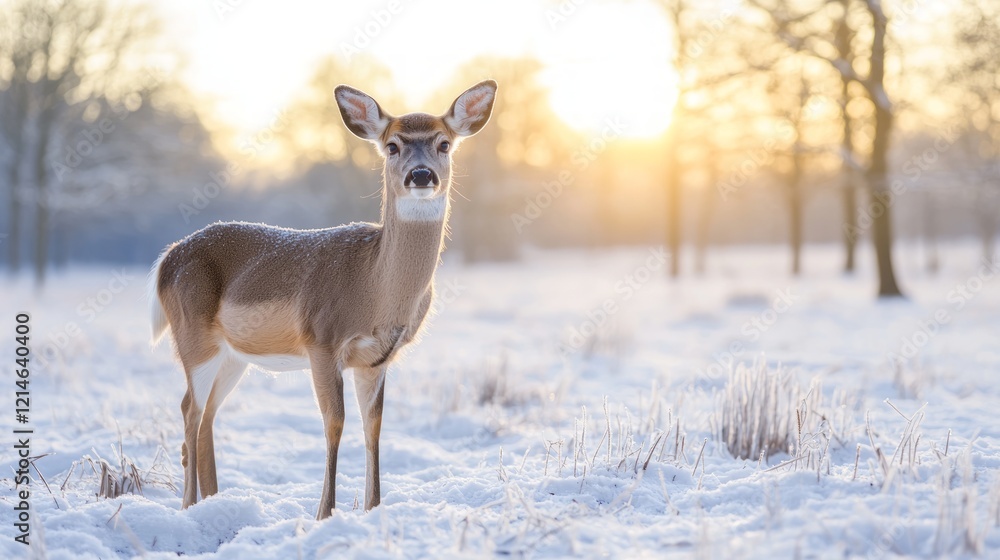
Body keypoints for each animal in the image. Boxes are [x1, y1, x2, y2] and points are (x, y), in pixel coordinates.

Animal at [147, 80, 497, 519]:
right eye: (392, 145)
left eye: (444, 143)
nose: (421, 175)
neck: (374, 289)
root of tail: (166, 259)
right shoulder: (322, 340)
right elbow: (335, 421)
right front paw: (324, 513)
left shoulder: (377, 357)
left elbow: (373, 425)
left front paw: (373, 507)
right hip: (194, 336)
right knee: (189, 410)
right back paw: (189, 505)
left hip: (232, 355)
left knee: (207, 412)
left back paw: (214, 501)